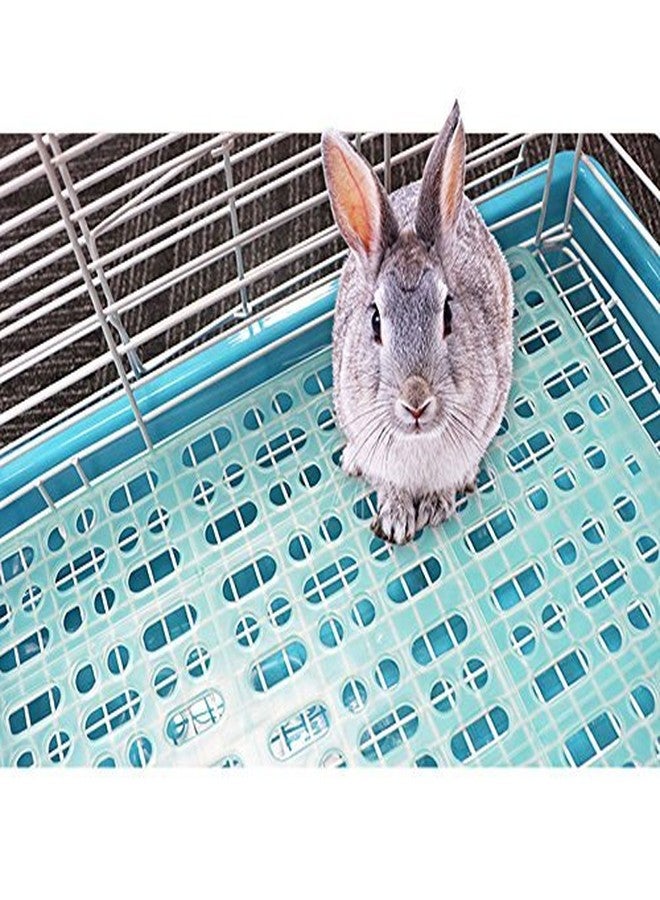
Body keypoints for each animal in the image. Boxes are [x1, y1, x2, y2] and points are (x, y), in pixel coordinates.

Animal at [321, 102, 513, 544]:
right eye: (375, 320)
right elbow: (389, 487)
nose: (416, 402)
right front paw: (395, 521)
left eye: (448, 314)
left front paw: (435, 507)